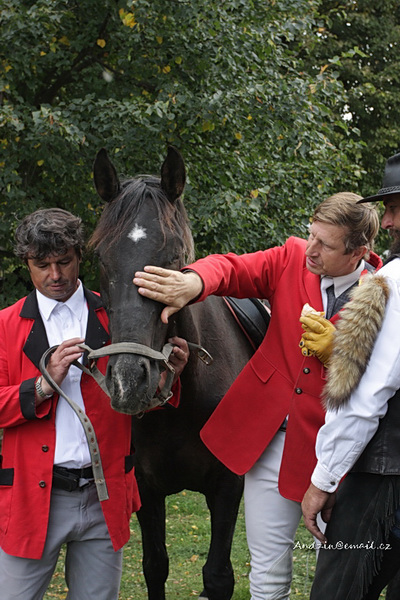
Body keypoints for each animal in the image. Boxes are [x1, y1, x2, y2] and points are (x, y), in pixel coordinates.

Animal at [89, 146, 265, 600]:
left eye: (173, 259)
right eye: (101, 258)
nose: (129, 382)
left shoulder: (227, 486)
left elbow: (218, 576)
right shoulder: (146, 488)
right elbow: (155, 566)